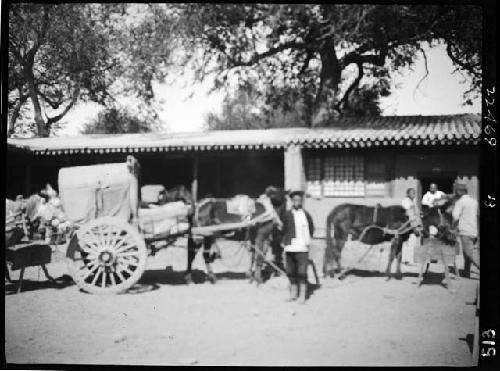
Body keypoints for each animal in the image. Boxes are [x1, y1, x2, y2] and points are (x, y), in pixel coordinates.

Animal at [324, 198, 458, 280]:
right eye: (448, 219)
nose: (453, 238)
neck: (409, 220)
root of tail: (335, 211)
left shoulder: (401, 240)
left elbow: (399, 256)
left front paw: (398, 274)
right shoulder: (396, 239)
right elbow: (392, 256)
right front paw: (388, 274)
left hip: (337, 235)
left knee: (329, 250)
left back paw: (330, 272)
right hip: (341, 235)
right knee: (336, 252)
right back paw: (339, 273)